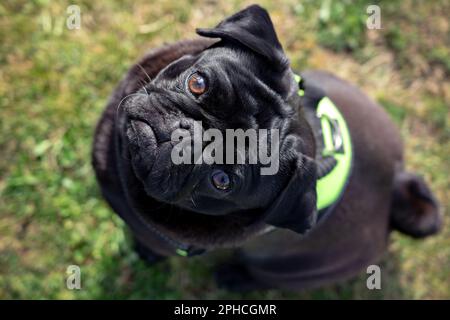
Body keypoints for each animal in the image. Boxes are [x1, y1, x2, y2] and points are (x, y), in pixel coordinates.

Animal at [93, 4, 442, 290]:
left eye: (222, 181)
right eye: (198, 83)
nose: (184, 136)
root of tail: (394, 189)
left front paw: (143, 253)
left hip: (293, 272)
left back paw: (236, 279)